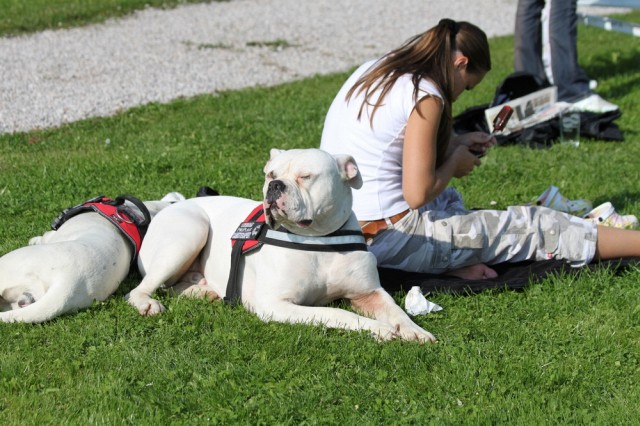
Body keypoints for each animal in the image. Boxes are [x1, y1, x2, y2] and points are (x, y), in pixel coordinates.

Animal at [127, 149, 435, 342]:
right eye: (270, 174)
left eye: (305, 176)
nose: (275, 186)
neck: (319, 239)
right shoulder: (277, 304)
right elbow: (335, 312)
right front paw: (378, 328)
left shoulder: (368, 293)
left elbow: (395, 310)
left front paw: (413, 330)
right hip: (190, 231)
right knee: (141, 288)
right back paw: (147, 303)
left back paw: (202, 291)